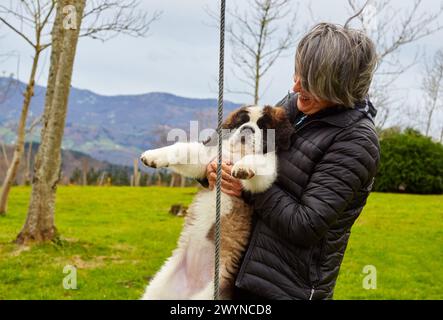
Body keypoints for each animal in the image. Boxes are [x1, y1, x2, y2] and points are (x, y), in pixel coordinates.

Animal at [140, 105, 294, 300]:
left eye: (263, 127)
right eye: (242, 121)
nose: (247, 129)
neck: (238, 153)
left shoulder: (268, 167)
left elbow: (258, 163)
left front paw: (243, 167)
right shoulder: (210, 159)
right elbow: (184, 150)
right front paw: (153, 156)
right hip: (157, 287)